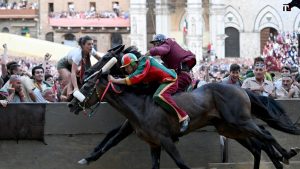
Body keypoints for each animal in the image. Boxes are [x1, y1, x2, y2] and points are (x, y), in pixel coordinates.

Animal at [68, 47, 300, 169]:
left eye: (87, 85)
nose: (71, 102)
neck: (141, 104)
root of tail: (240, 88)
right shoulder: (153, 142)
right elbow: (111, 140)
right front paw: (88, 157)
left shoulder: (165, 139)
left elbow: (181, 164)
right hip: (230, 128)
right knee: (259, 143)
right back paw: (281, 158)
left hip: (239, 121)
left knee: (265, 135)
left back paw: (286, 154)